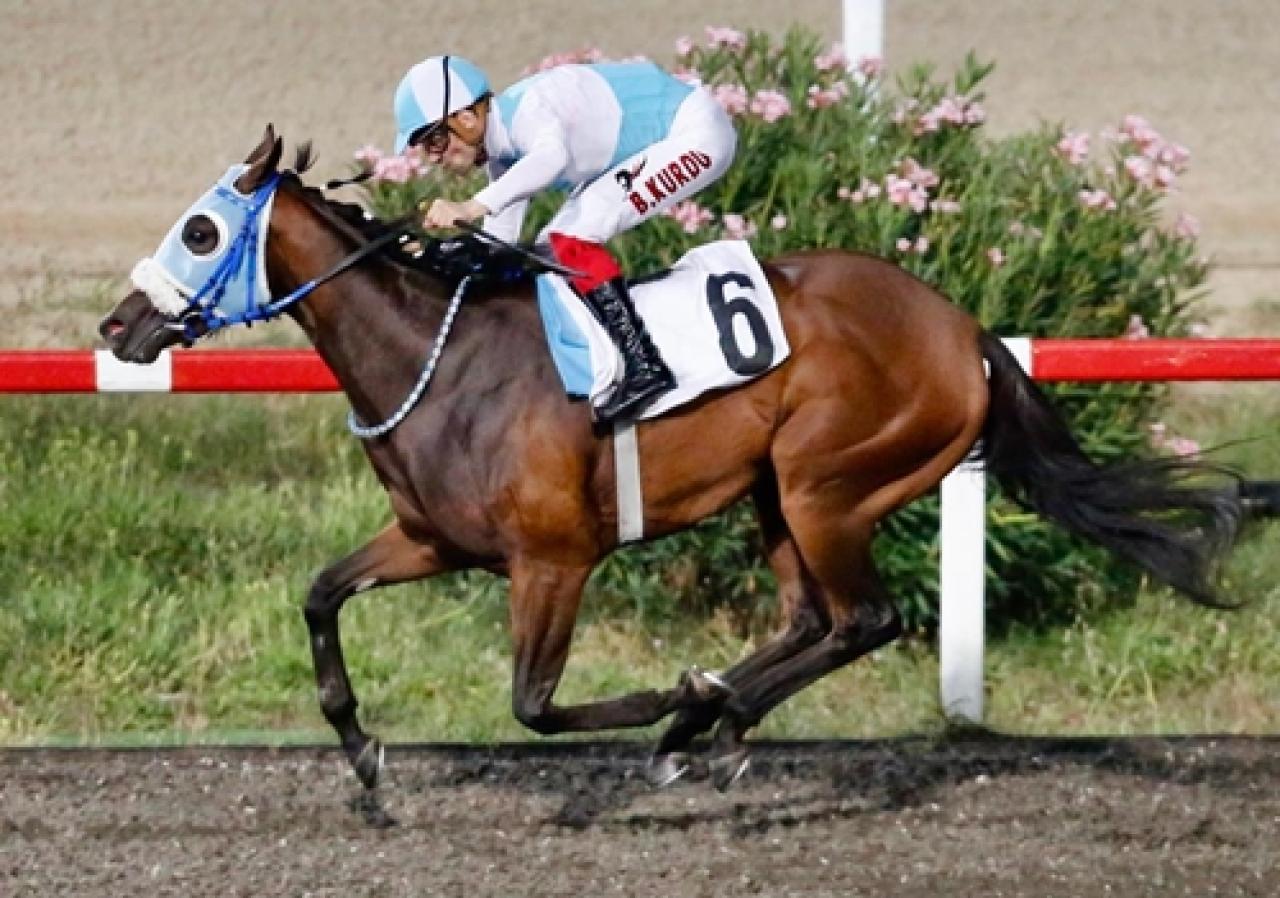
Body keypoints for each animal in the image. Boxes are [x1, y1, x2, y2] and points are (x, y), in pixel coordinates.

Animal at [100, 127, 1245, 801]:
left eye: (201, 230)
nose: (117, 327)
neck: (445, 361)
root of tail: (964, 331)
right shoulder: (431, 540)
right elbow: (320, 595)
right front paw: (363, 754)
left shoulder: (555, 560)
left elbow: (532, 703)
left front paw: (666, 698)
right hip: (779, 495)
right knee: (813, 620)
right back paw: (711, 718)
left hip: (827, 483)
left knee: (864, 619)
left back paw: (705, 714)